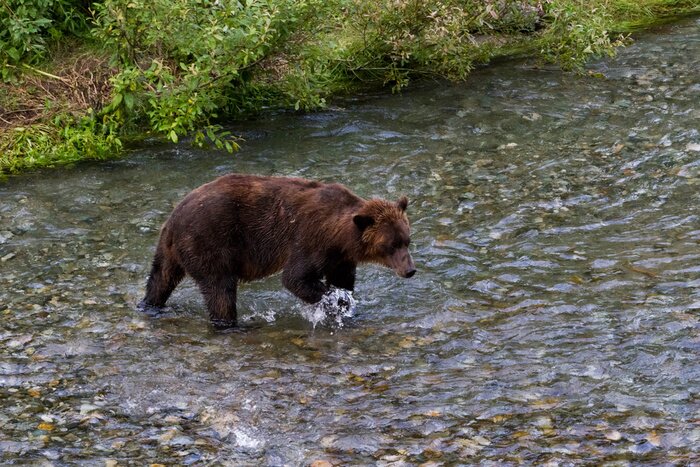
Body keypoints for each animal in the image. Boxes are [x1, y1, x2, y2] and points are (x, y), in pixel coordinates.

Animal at [141, 174, 415, 327]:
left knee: (161, 277)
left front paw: (347, 306)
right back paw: (230, 324)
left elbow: (343, 281)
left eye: (407, 240)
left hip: (172, 251)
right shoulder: (311, 240)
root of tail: (173, 219)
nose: (410, 270)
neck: (340, 236)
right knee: (220, 290)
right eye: (391, 245)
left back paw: (150, 305)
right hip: (209, 242)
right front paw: (332, 301)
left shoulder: (341, 257)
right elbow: (296, 278)